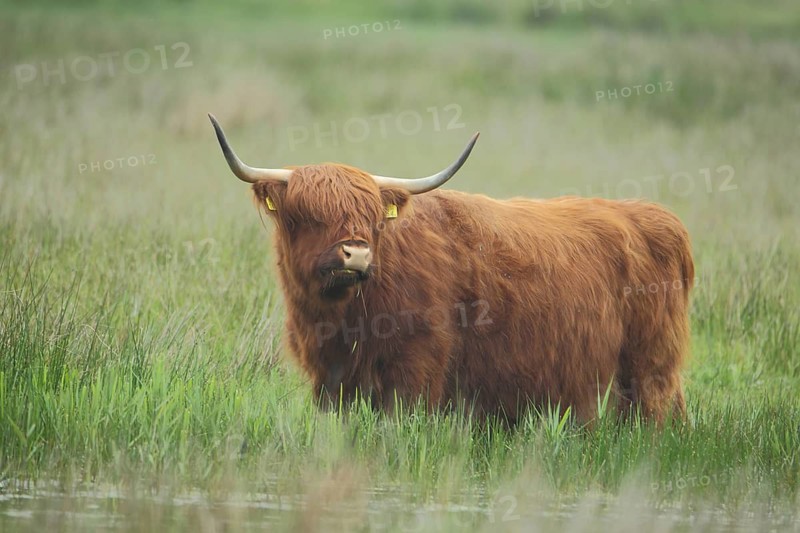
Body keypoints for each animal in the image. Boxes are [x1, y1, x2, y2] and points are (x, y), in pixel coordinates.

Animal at [209, 114, 694, 424]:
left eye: (372, 218)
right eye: (306, 214)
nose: (357, 255)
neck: (342, 316)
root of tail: (652, 215)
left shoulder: (417, 366)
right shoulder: (329, 377)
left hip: (649, 365)